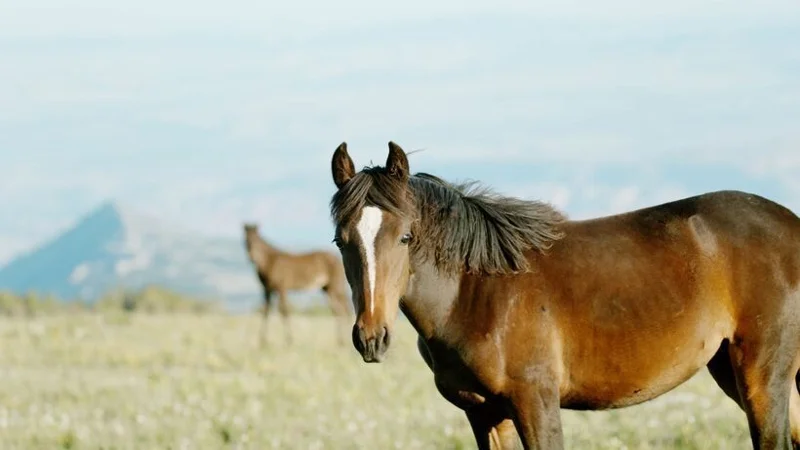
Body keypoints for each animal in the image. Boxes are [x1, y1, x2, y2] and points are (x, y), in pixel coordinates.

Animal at [327, 141, 800, 449]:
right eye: (340, 241)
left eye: (406, 237)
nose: (371, 338)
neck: (476, 293)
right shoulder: (485, 414)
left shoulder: (536, 403)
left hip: (762, 375)